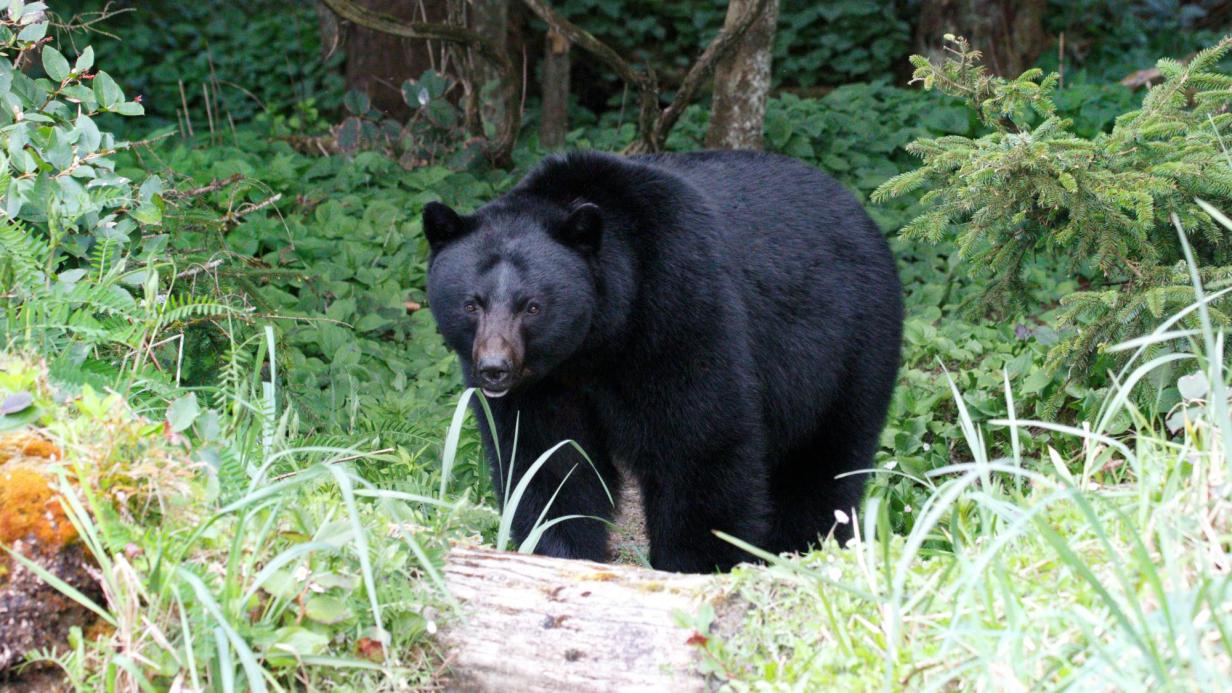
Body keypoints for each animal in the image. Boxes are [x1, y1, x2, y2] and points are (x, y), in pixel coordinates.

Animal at [423, 150, 902, 573]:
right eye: (471, 304)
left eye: (532, 306)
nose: (495, 369)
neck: (595, 343)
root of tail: (859, 210)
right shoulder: (544, 384)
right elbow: (548, 459)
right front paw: (557, 550)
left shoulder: (677, 306)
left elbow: (699, 441)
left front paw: (697, 563)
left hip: (848, 345)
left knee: (824, 460)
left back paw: (801, 548)